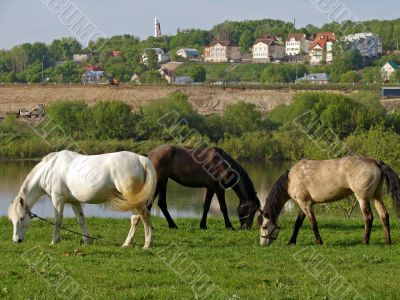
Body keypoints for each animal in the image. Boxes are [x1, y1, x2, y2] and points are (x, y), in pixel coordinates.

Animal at [7, 150, 157, 248]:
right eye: (12, 220)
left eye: (21, 218)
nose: (16, 240)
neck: (50, 169)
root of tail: (141, 159)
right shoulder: (74, 202)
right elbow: (81, 220)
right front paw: (87, 241)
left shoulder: (58, 199)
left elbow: (58, 220)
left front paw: (54, 241)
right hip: (133, 200)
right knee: (136, 219)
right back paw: (127, 244)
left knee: (145, 216)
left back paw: (147, 244)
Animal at [258, 157, 400, 246]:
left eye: (264, 226)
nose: (263, 243)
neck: (291, 179)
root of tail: (376, 162)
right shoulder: (303, 205)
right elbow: (298, 223)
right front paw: (291, 241)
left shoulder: (305, 204)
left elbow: (313, 223)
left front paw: (319, 242)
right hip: (377, 197)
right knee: (384, 216)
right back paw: (387, 241)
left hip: (363, 199)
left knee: (368, 218)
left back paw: (365, 242)